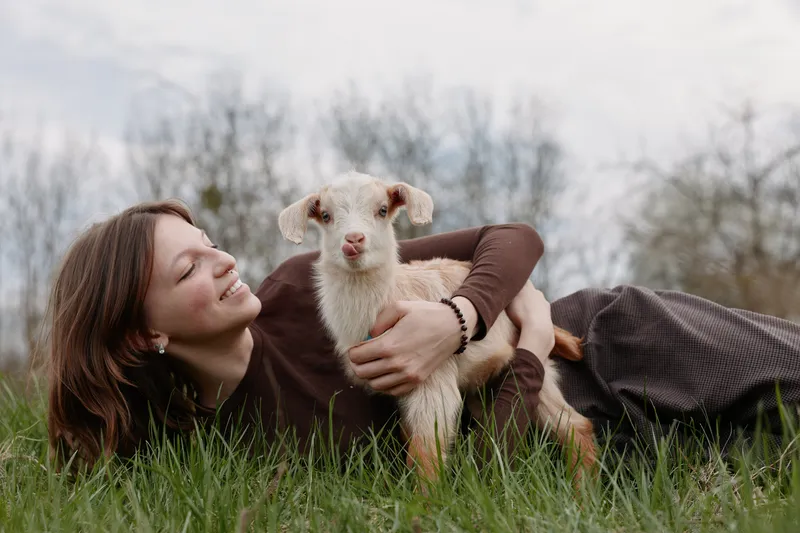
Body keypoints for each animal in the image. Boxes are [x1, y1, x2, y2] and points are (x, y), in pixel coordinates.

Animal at [278, 171, 596, 487]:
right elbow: (413, 441)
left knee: (576, 427)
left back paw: (581, 493)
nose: (353, 240)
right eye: (326, 215)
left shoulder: (433, 382)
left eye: (382, 210)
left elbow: (426, 454)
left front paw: (425, 498)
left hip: (539, 369)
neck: (391, 296)